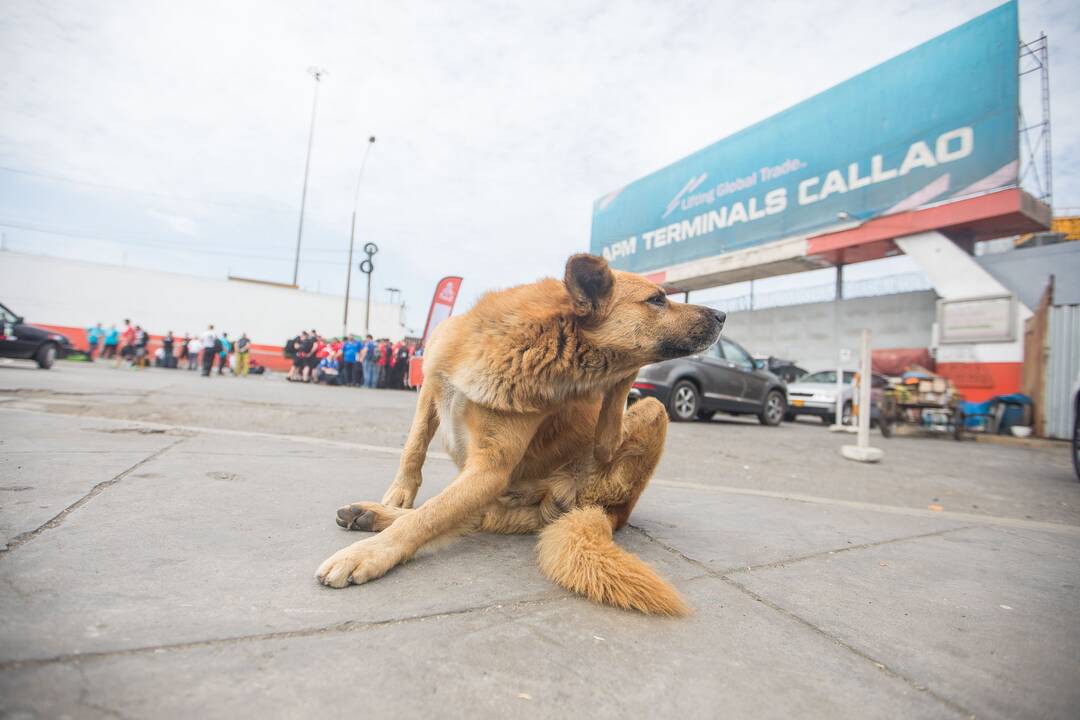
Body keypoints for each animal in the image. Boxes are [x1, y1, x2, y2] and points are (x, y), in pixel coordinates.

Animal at [315, 252, 721, 613]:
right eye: (657, 299)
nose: (722, 315)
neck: (534, 344)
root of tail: (608, 515)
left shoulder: (491, 468)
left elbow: (428, 516)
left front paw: (369, 554)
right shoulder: (430, 386)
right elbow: (414, 450)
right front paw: (399, 493)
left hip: (650, 412)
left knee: (472, 514)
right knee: (477, 514)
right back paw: (374, 513)